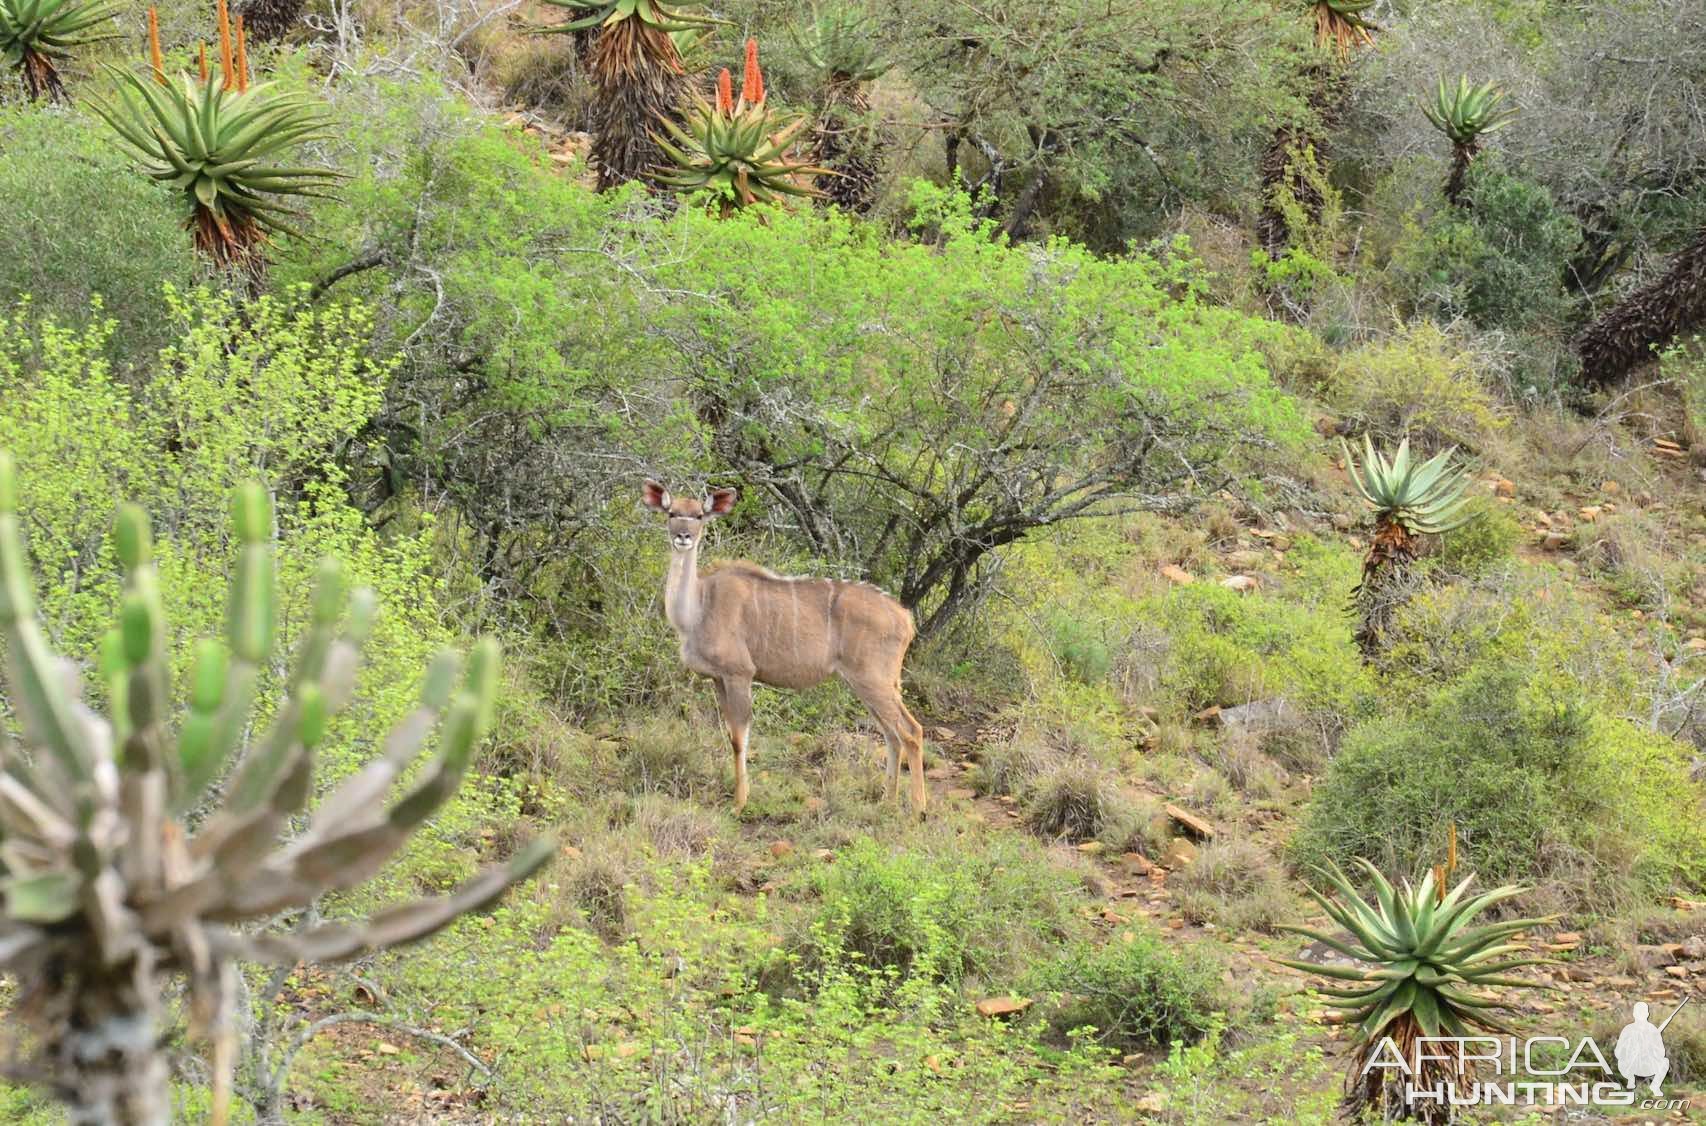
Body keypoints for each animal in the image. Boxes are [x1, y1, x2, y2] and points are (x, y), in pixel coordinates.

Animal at [641, 481, 934, 812]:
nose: (683, 537)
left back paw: (918, 809)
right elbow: (731, 734)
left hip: (873, 680)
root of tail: (905, 618)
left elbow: (739, 739)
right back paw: (887, 801)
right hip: (870, 683)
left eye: (700, 515)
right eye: (672, 513)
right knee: (891, 733)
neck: (698, 607)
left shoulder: (740, 674)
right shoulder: (718, 679)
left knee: (911, 731)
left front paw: (740, 803)